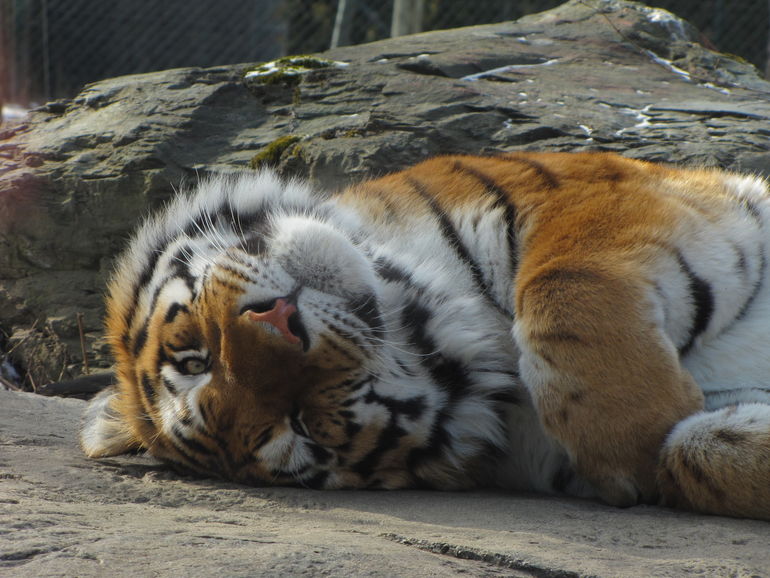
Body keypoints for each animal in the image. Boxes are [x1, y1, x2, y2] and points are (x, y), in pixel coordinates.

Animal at [79, 152, 768, 516]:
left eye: (192, 358)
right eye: (296, 427)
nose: (279, 322)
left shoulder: (606, 194)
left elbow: (560, 283)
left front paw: (639, 423)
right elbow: (692, 448)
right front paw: (650, 440)